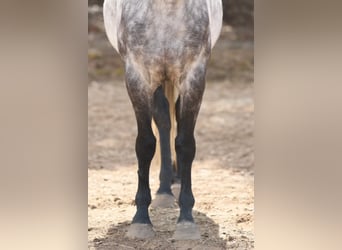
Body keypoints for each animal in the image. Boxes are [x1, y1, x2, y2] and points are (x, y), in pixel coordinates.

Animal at [103, 0, 223, 239]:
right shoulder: (137, 76)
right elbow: (145, 144)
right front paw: (141, 220)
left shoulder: (194, 76)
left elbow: (185, 144)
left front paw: (186, 220)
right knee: (164, 120)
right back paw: (164, 191)